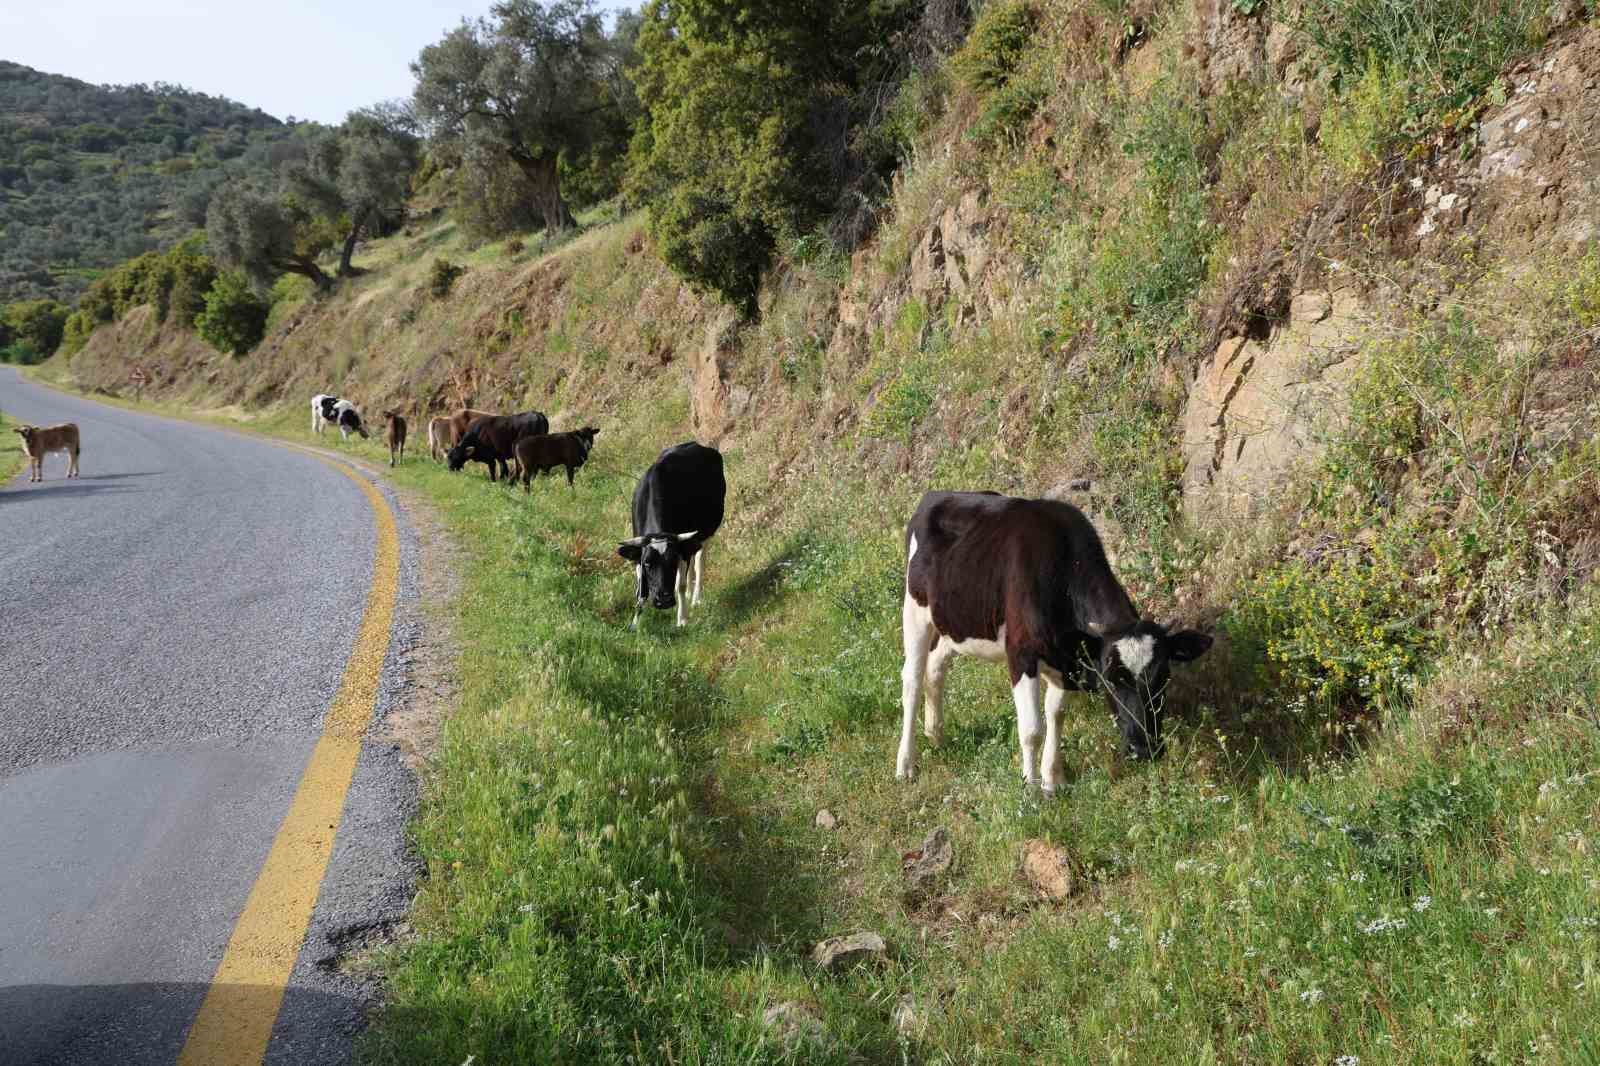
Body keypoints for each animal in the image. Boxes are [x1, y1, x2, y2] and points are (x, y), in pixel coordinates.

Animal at [617, 438, 726, 627]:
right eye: (648, 564)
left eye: (672, 560)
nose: (664, 601)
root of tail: (696, 444)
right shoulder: (639, 554)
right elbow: (641, 590)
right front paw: (635, 623)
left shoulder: (680, 551)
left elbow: (679, 585)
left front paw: (682, 619)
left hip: (707, 532)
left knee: (699, 561)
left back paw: (696, 597)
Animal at [902, 489, 1209, 787]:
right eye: (1110, 680)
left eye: (1164, 677)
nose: (1144, 749)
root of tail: (936, 495)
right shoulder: (1021, 653)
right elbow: (1032, 729)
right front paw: (1031, 787)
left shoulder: (1068, 661)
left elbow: (1056, 715)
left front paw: (1053, 780)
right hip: (914, 611)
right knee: (912, 681)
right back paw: (906, 765)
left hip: (952, 622)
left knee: (935, 668)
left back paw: (936, 734)